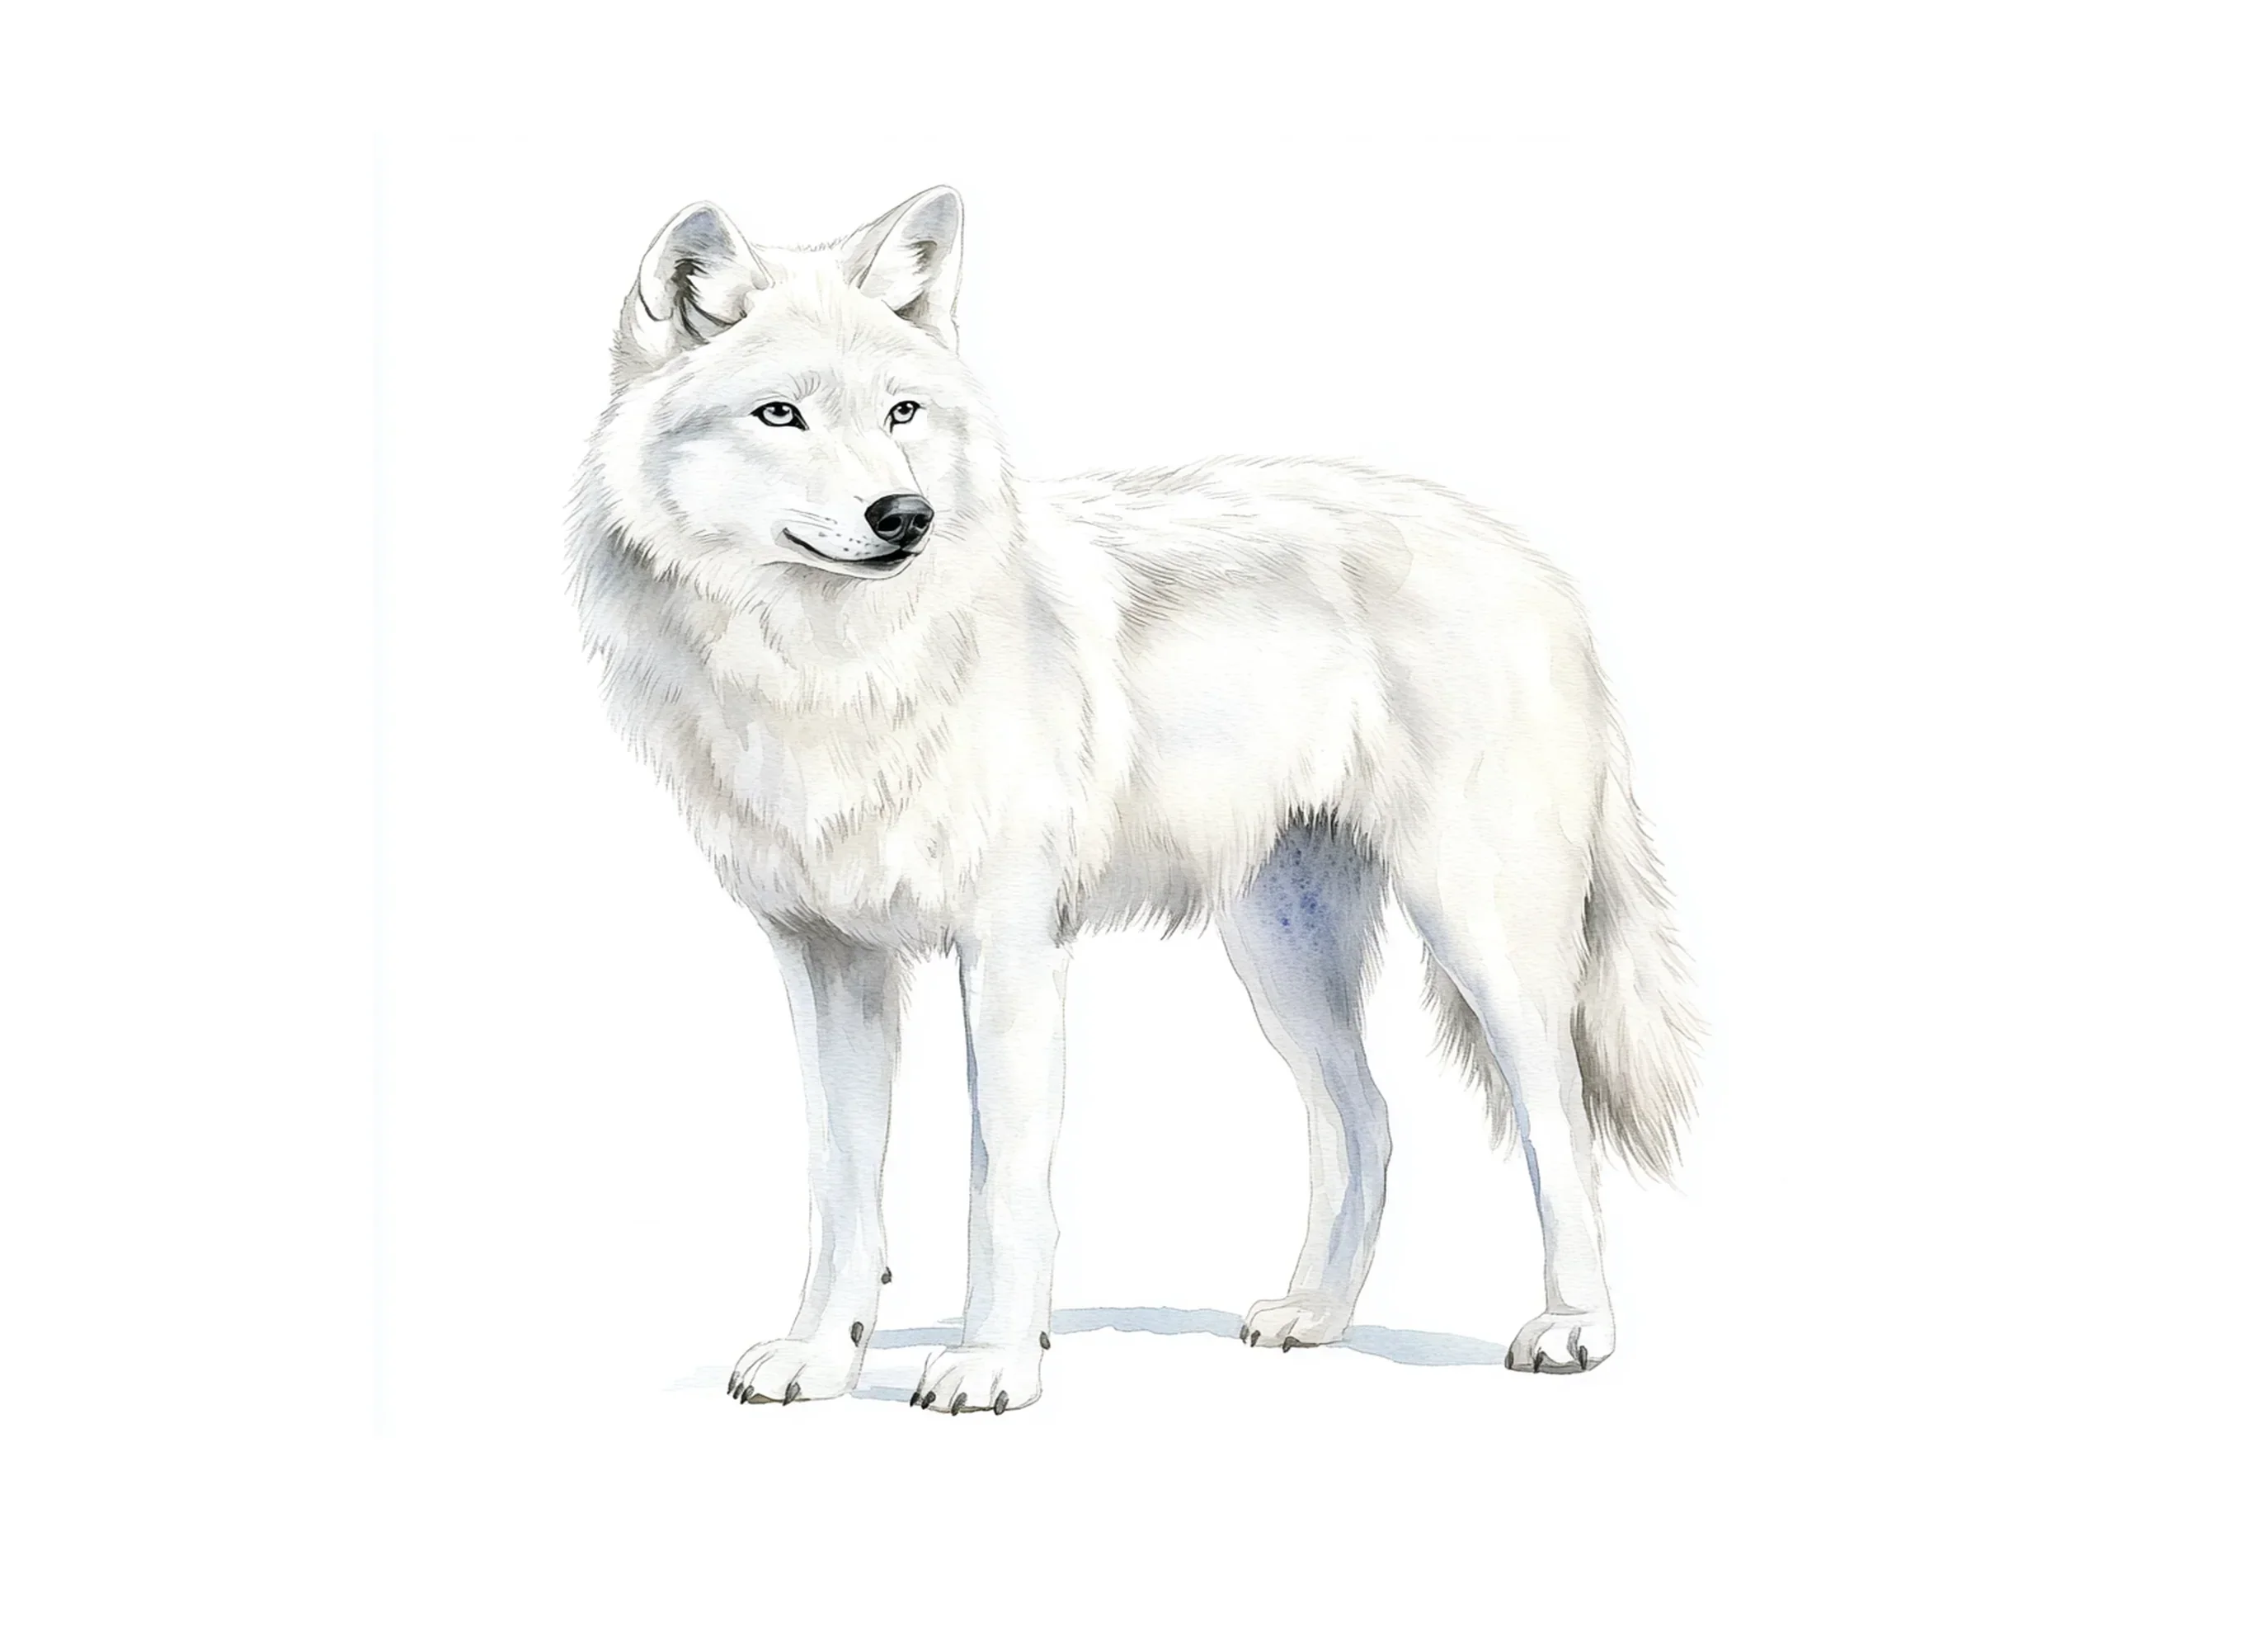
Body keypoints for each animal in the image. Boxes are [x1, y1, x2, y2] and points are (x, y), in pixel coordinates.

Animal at [571, 187, 1699, 1414]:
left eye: (901, 411)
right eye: (779, 415)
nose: (903, 515)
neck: (835, 668)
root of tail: (1535, 565)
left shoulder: (1010, 946)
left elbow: (1002, 1184)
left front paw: (993, 1365)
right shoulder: (826, 958)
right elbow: (840, 1187)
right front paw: (823, 1358)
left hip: (1480, 933)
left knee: (1556, 1122)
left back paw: (1573, 1328)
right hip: (1278, 955)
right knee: (1365, 1119)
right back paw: (1314, 1316)